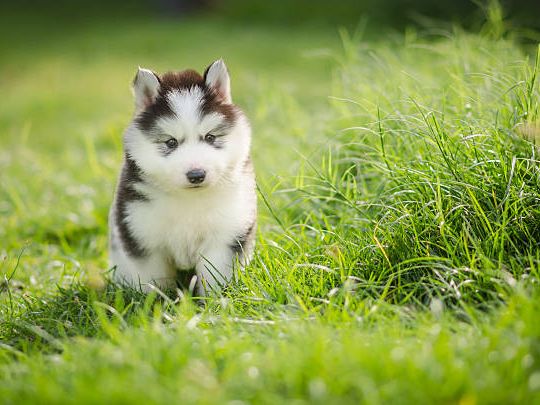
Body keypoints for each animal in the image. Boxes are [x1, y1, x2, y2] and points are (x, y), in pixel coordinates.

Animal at [109, 59, 258, 294]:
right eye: (171, 142)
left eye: (210, 137)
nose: (196, 175)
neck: (189, 200)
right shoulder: (144, 238)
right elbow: (154, 282)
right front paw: (155, 301)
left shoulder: (223, 239)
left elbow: (215, 278)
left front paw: (214, 300)